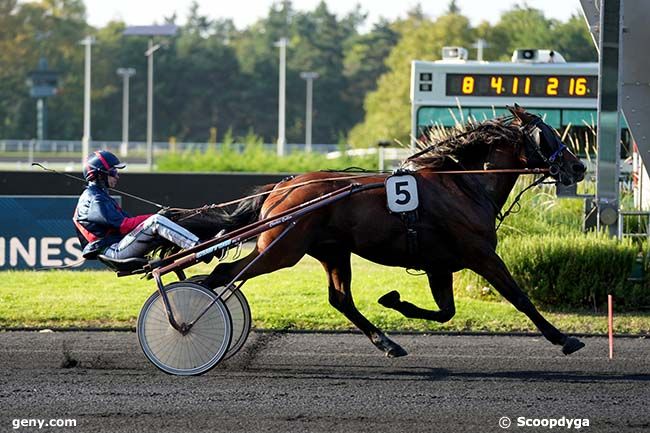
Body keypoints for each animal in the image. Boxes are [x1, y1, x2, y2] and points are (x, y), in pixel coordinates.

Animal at [166, 104, 588, 354]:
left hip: (332, 250)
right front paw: (564, 338)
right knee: (222, 273)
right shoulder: (480, 255)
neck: (463, 184)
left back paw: (387, 343)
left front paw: (394, 300)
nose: (579, 166)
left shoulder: (440, 265)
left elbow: (446, 312)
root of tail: (283, 187)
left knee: (340, 299)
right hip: (282, 250)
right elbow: (520, 297)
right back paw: (188, 321)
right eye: (548, 135)